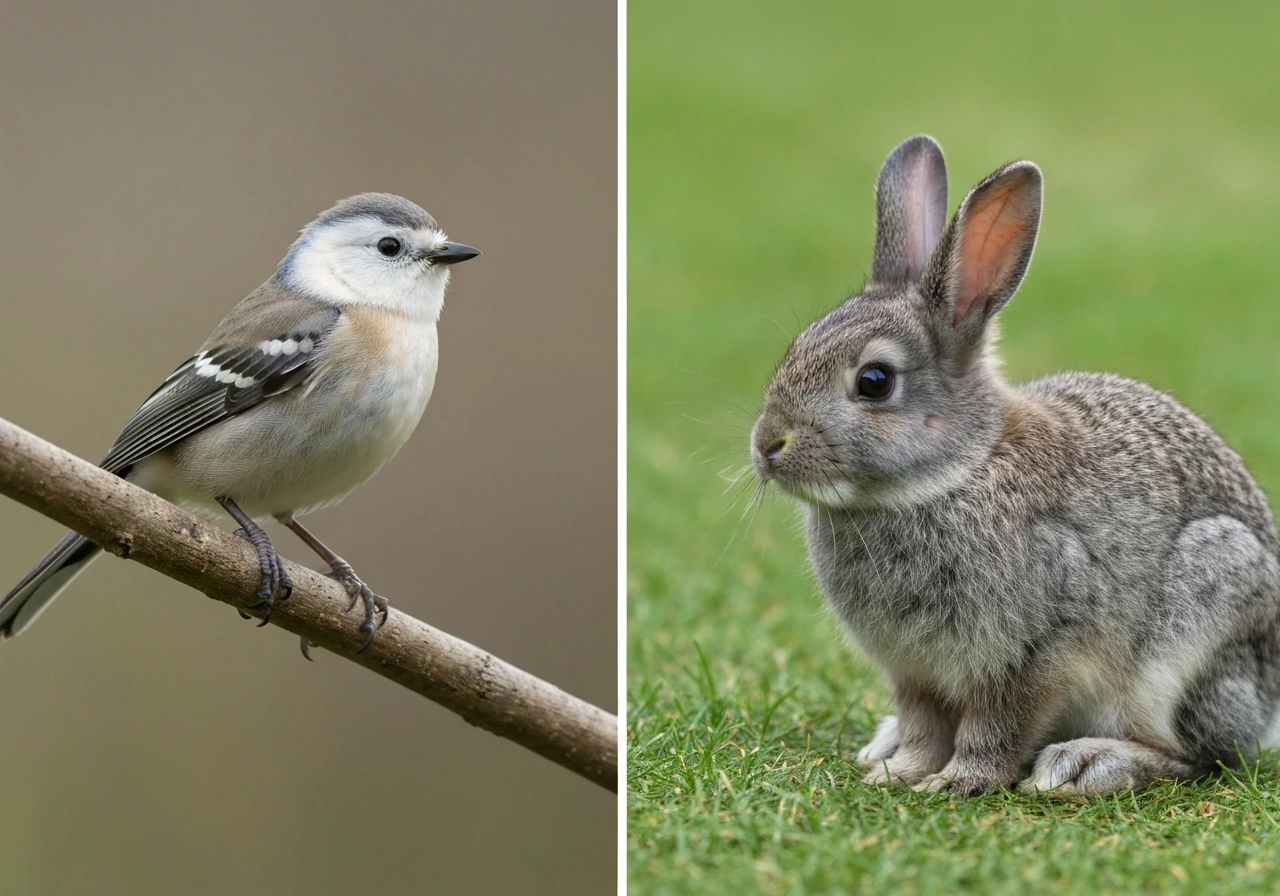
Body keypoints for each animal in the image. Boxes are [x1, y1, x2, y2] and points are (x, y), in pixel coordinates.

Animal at [749, 134, 1280, 796]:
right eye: (795, 349)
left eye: (874, 381)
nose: (766, 445)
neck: (953, 473)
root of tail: (1268, 701)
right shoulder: (913, 671)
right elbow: (923, 725)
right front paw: (900, 772)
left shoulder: (1035, 651)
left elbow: (998, 724)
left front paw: (956, 782)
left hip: (1198, 618)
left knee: (1198, 755)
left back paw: (1089, 763)